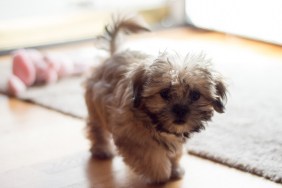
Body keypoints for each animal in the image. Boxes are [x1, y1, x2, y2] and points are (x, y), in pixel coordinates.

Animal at [84, 16, 227, 184]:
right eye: (164, 93)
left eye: (195, 95)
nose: (180, 110)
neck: (155, 123)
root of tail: (114, 55)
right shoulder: (132, 138)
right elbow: (152, 157)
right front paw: (161, 175)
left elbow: (175, 152)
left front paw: (175, 168)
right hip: (96, 105)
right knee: (96, 127)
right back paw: (102, 149)